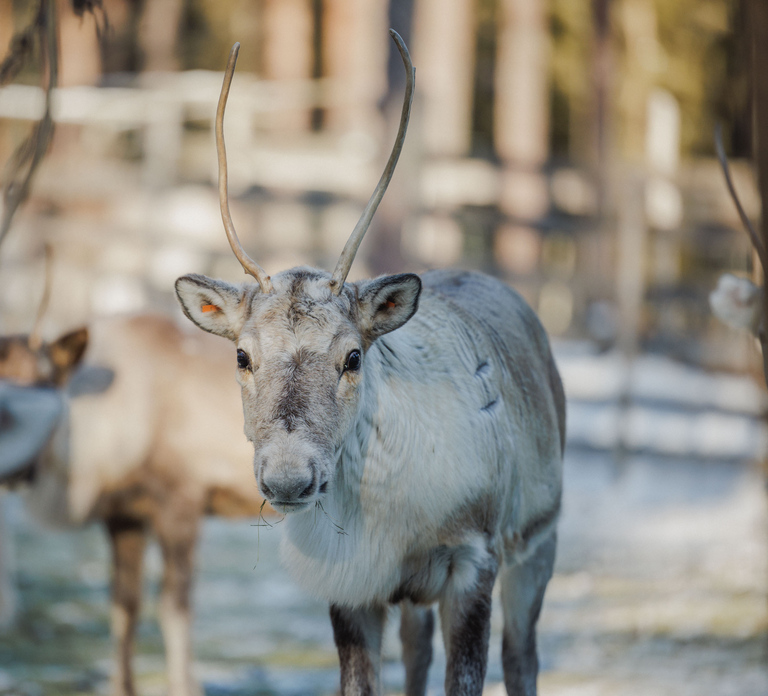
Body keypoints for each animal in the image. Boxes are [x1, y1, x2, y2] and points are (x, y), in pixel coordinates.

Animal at [0, 314, 266, 696]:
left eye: (47, 379)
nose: (13, 472)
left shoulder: (181, 501)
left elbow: (174, 608)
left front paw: (186, 686)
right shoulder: (124, 516)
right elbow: (124, 606)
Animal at [175, 31, 565, 696]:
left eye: (353, 355)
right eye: (242, 355)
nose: (288, 479)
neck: (393, 519)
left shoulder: (476, 560)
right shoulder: (352, 584)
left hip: (540, 540)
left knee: (523, 657)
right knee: (417, 653)